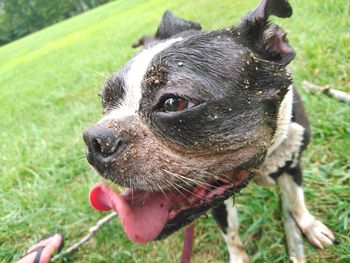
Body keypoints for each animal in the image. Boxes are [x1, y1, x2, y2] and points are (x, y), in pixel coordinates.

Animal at [82, 0, 336, 262]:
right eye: (104, 99)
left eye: (174, 103)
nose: (95, 139)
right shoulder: (216, 201)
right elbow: (231, 233)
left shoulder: (293, 162)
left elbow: (296, 200)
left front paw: (309, 226)